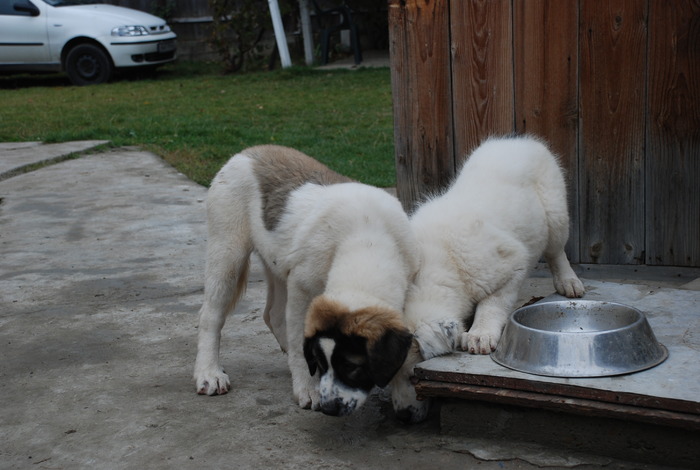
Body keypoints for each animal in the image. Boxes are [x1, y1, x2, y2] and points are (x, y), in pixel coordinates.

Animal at [194, 145, 418, 416]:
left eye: (353, 367)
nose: (330, 408)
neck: (367, 240)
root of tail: (247, 151)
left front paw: (405, 396)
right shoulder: (302, 287)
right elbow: (299, 338)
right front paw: (308, 387)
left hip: (278, 262)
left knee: (273, 314)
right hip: (227, 249)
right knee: (211, 314)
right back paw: (209, 373)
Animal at [388, 135, 584, 422]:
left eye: (414, 378)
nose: (402, 416)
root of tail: (520, 140)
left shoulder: (512, 263)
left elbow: (493, 304)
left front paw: (479, 334)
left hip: (556, 211)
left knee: (556, 251)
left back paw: (568, 282)